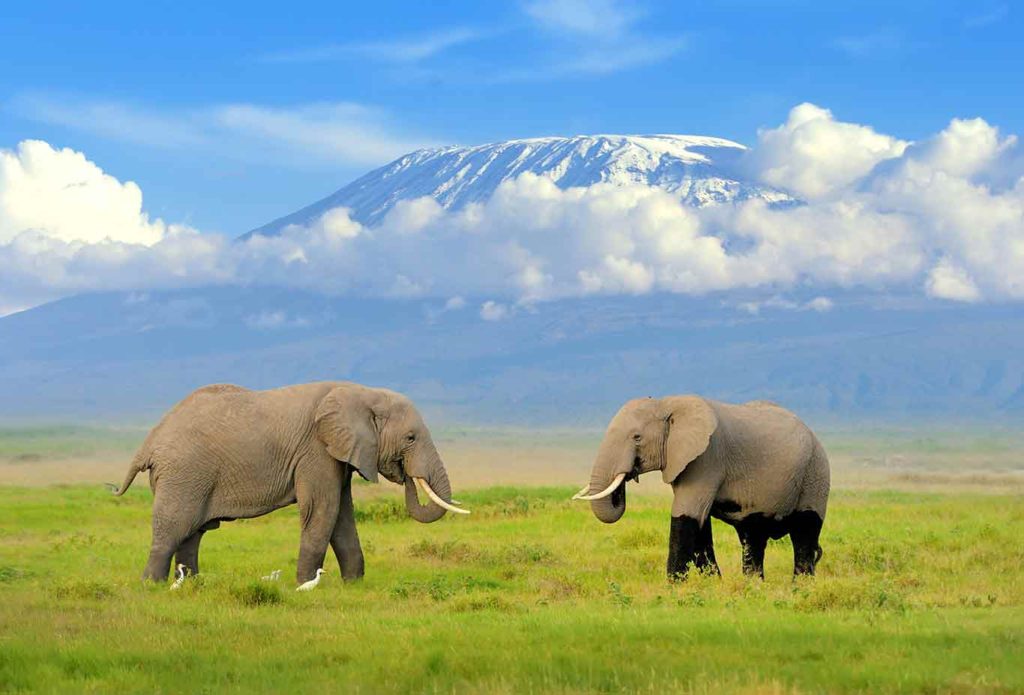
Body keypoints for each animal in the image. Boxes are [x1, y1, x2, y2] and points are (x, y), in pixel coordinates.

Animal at [113, 382, 468, 585]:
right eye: (410, 438)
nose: (404, 473)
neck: (362, 392)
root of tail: (149, 441)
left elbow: (342, 515)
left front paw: (353, 585)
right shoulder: (315, 450)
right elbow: (322, 510)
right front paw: (305, 585)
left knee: (193, 533)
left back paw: (192, 583)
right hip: (183, 475)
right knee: (174, 528)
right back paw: (152, 586)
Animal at [573, 397, 827, 581]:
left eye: (637, 437)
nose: (628, 475)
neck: (668, 403)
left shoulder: (707, 459)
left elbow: (686, 515)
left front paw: (674, 588)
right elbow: (700, 525)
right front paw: (713, 584)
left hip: (815, 474)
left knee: (805, 532)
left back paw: (800, 589)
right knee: (753, 537)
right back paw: (754, 587)